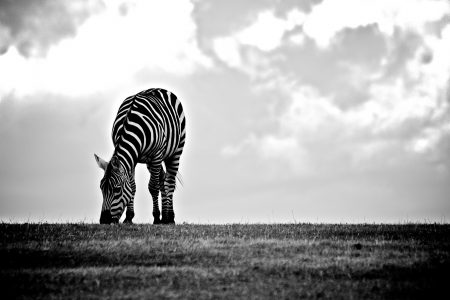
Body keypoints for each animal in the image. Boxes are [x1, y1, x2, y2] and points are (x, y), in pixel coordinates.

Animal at [94, 88, 185, 224]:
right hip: (151, 162)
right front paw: (129, 217)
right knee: (163, 180)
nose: (104, 220)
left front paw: (156, 217)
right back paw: (165, 217)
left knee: (169, 182)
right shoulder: (133, 158)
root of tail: (157, 88)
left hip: (175, 152)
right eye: (101, 188)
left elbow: (153, 187)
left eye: (117, 189)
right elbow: (132, 187)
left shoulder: (156, 155)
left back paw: (169, 217)